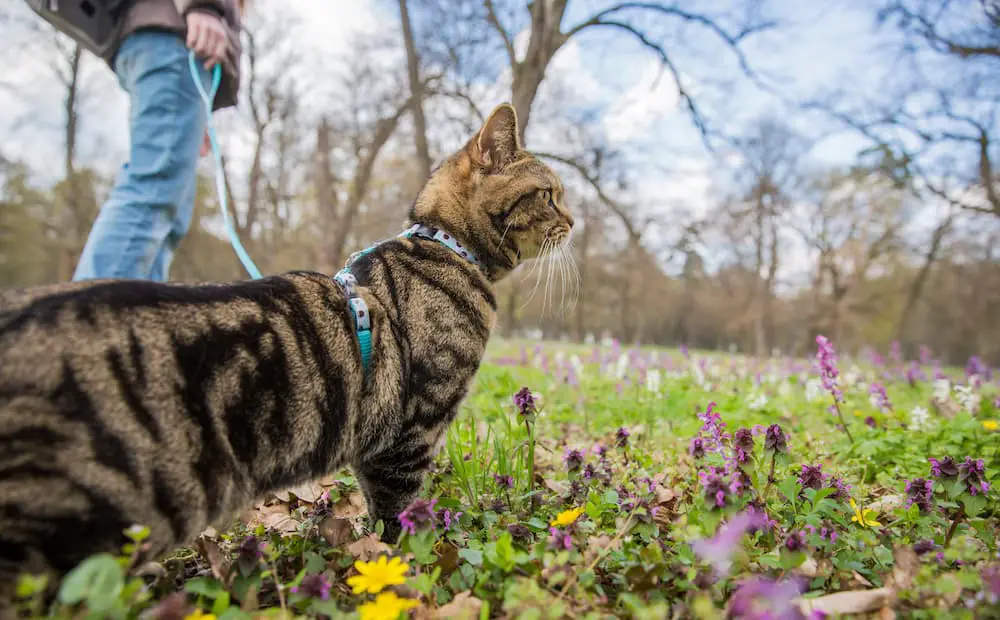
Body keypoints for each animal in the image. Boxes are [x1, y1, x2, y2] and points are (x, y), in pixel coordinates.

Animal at [0, 104, 576, 612]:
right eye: (549, 195)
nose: (574, 220)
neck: (446, 246)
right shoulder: (410, 433)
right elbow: (399, 516)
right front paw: (411, 567)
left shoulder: (376, 445)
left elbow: (376, 509)